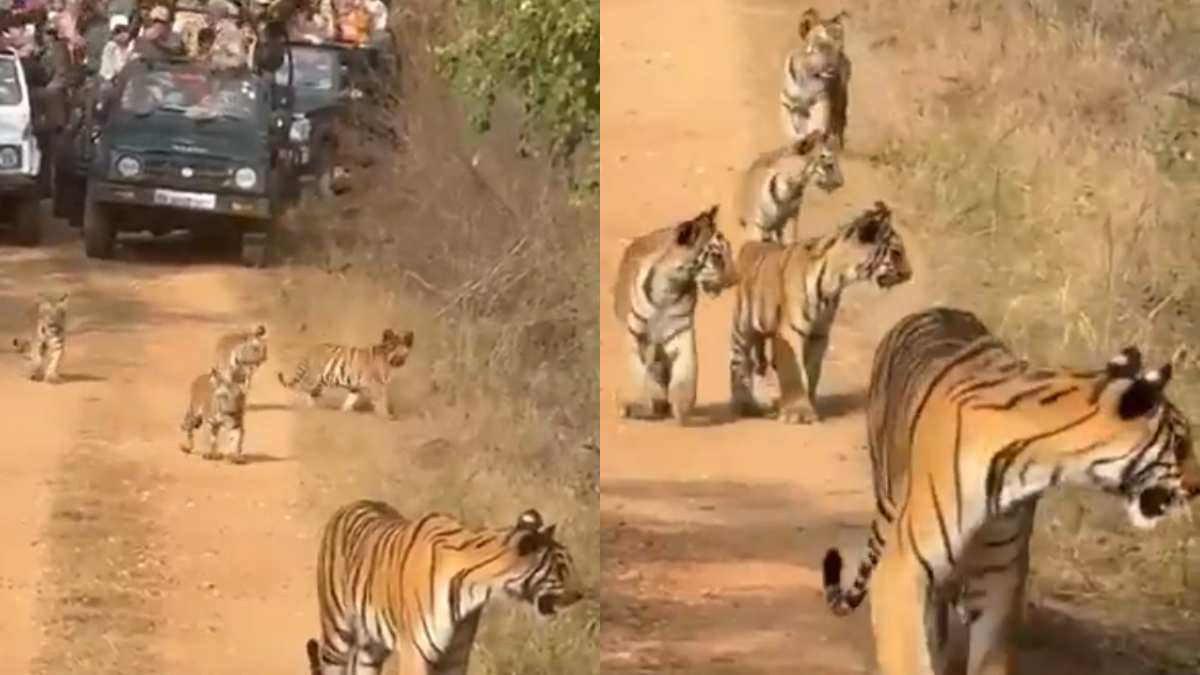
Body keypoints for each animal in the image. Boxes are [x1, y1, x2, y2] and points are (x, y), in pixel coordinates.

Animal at [276, 326, 412, 415]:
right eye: (392, 347)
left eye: (402, 349)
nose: (399, 361)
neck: (390, 363)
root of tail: (310, 349)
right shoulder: (377, 386)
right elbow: (382, 402)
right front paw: (386, 417)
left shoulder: (356, 387)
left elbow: (350, 400)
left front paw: (344, 411)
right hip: (313, 378)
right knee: (304, 391)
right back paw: (306, 409)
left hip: (322, 381)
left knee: (312, 393)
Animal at [614, 205, 734, 422]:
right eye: (717, 256)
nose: (734, 279)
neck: (669, 288)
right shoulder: (638, 334)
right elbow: (638, 371)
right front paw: (637, 402)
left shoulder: (680, 332)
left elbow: (686, 368)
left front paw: (682, 405)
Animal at [729, 198, 907, 420]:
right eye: (896, 252)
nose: (910, 273)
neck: (836, 281)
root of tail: (751, 244)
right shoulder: (791, 331)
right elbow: (793, 372)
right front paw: (798, 412)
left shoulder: (819, 334)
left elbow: (812, 371)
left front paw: (810, 404)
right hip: (742, 328)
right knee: (738, 362)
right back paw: (744, 403)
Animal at [777, 8, 854, 147]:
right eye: (821, 47)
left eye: (839, 48)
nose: (833, 68)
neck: (807, 77)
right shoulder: (789, 104)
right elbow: (792, 126)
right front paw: (797, 139)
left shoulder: (822, 100)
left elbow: (818, 124)